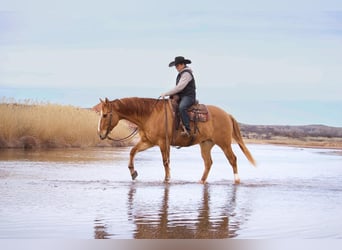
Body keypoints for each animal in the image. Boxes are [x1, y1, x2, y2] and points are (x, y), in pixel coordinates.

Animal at [97, 97, 255, 184]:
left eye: (105, 115)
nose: (100, 134)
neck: (150, 114)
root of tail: (227, 114)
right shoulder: (148, 142)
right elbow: (132, 151)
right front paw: (133, 172)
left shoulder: (163, 142)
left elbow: (165, 161)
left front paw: (167, 179)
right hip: (206, 144)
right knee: (208, 163)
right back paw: (201, 181)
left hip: (224, 143)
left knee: (232, 159)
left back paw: (237, 180)